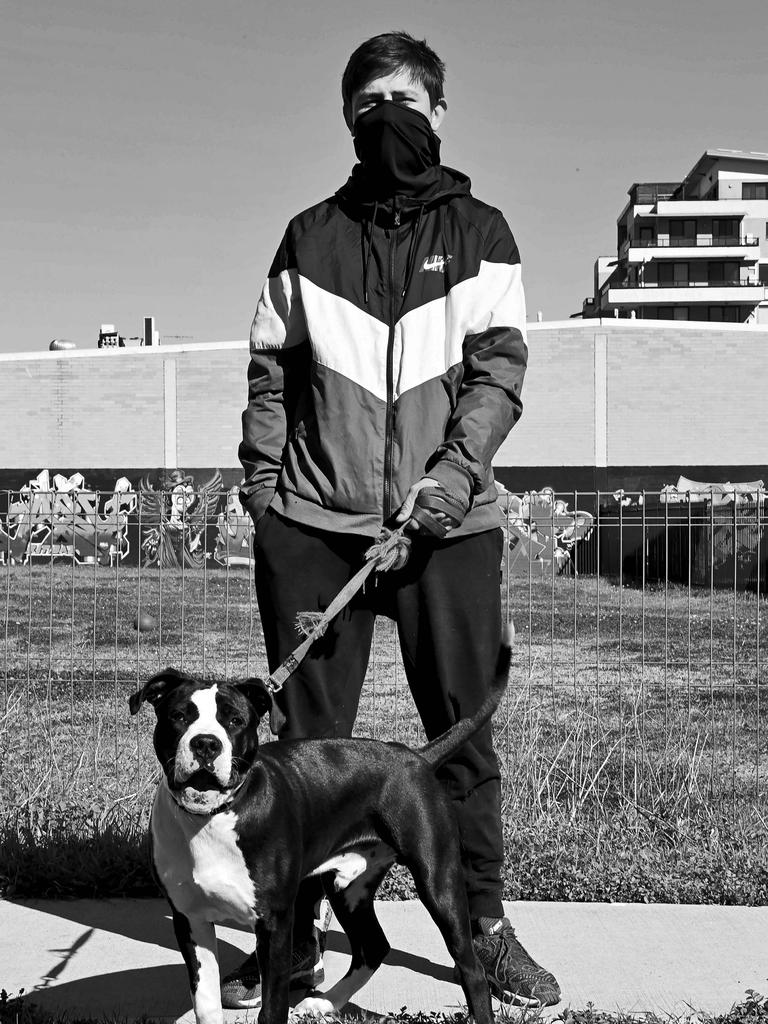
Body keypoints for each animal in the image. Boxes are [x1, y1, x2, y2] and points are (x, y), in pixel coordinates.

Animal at [132, 622, 514, 1024]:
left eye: (235, 721)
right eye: (179, 716)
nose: (206, 744)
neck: (212, 819)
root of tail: (416, 755)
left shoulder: (274, 926)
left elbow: (272, 1008)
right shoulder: (190, 920)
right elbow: (205, 1004)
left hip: (438, 882)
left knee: (470, 968)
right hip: (348, 886)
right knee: (374, 947)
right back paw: (326, 1002)